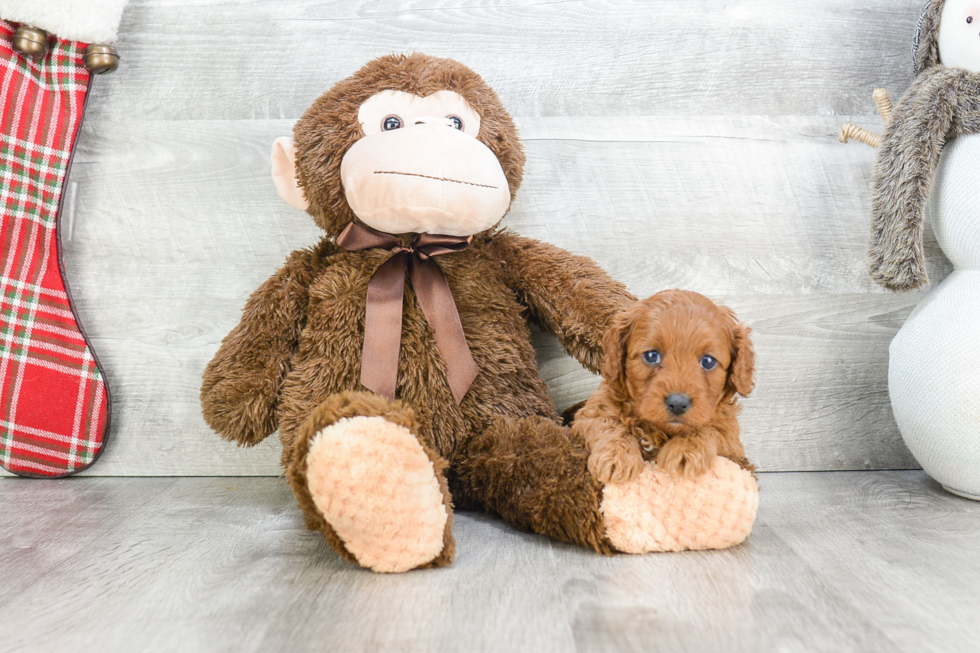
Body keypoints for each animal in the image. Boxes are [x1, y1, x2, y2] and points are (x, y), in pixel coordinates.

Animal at [572, 290, 756, 478]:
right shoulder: (590, 414)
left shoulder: (733, 443)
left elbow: (710, 427)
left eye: (708, 361)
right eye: (652, 355)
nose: (678, 403)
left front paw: (685, 451)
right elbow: (609, 423)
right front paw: (616, 456)